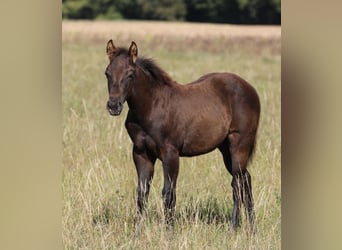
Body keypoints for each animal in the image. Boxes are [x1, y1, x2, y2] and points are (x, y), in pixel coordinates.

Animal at [103, 40, 260, 231]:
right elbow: (142, 193)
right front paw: (137, 232)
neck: (151, 106)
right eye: (107, 73)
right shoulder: (141, 154)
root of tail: (250, 89)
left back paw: (233, 228)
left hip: (239, 144)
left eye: (130, 74)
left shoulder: (171, 153)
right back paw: (252, 228)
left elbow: (168, 194)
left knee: (237, 182)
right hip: (225, 149)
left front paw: (168, 232)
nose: (113, 105)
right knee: (246, 178)